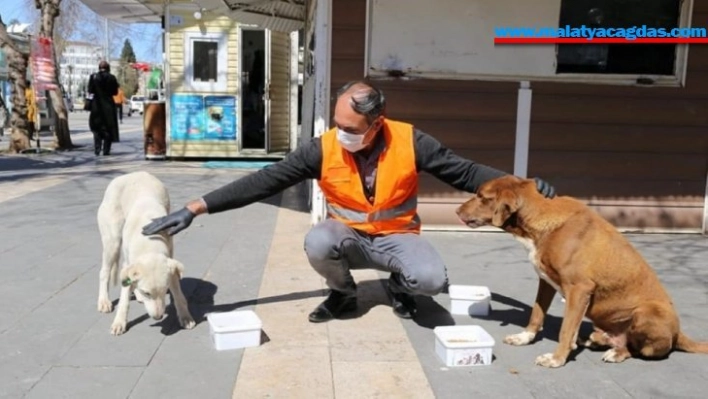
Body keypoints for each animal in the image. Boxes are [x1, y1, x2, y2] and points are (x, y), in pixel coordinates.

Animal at [97, 173, 195, 338]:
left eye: (164, 290)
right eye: (147, 293)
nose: (158, 317)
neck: (149, 244)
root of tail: (131, 174)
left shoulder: (171, 266)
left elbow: (178, 295)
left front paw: (185, 316)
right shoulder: (128, 266)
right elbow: (124, 301)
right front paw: (119, 322)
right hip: (113, 241)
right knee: (104, 272)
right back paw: (104, 301)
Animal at [456, 175, 704, 368]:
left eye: (481, 196)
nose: (457, 211)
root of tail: (679, 334)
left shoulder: (579, 289)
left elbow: (565, 330)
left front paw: (555, 359)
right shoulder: (545, 282)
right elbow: (536, 314)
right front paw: (524, 338)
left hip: (647, 312)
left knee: (637, 349)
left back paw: (616, 352)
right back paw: (595, 339)